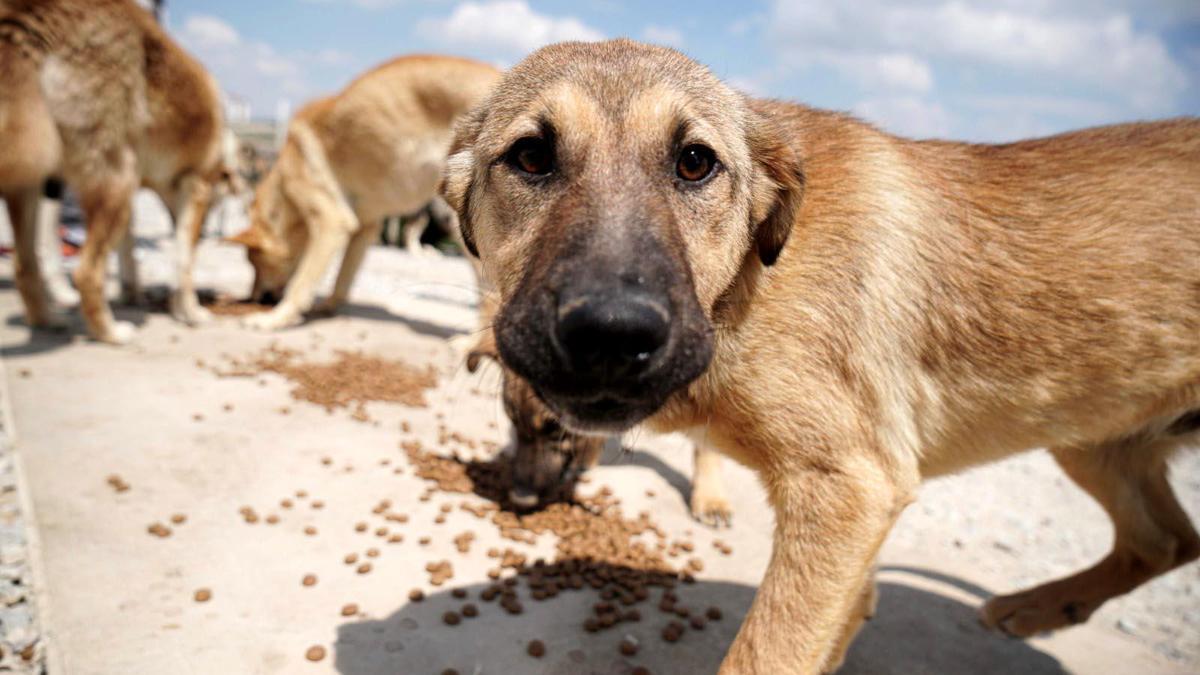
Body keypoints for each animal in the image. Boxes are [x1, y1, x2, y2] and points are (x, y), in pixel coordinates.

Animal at [0, 0, 236, 341]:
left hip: (36, 180)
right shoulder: (194, 188)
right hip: (116, 179)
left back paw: (46, 319)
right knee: (86, 271)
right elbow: (183, 261)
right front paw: (190, 312)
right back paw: (109, 332)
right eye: (216, 205)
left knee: (24, 264)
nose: (206, 232)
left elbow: (130, 252)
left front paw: (134, 294)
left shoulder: (135, 197)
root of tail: (31, 12)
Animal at [231, 55, 499, 329]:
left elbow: (301, 283)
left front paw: (276, 318)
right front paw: (328, 307)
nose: (255, 299)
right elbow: (343, 277)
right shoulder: (365, 227)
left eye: (255, 263)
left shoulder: (331, 222)